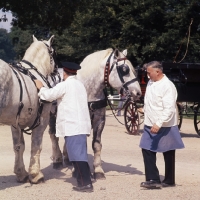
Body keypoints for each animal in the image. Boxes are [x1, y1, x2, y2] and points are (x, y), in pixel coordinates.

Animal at [0, 34, 58, 183]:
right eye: (53, 52)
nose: (56, 70)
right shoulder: (42, 120)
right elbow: (36, 145)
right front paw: (35, 174)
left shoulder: (15, 124)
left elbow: (18, 147)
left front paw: (21, 173)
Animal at [49, 48, 141, 180]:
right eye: (124, 69)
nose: (138, 93)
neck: (88, 91)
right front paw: (77, 171)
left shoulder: (99, 120)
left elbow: (96, 145)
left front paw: (98, 170)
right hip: (52, 116)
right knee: (53, 136)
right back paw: (57, 160)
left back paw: (67, 159)